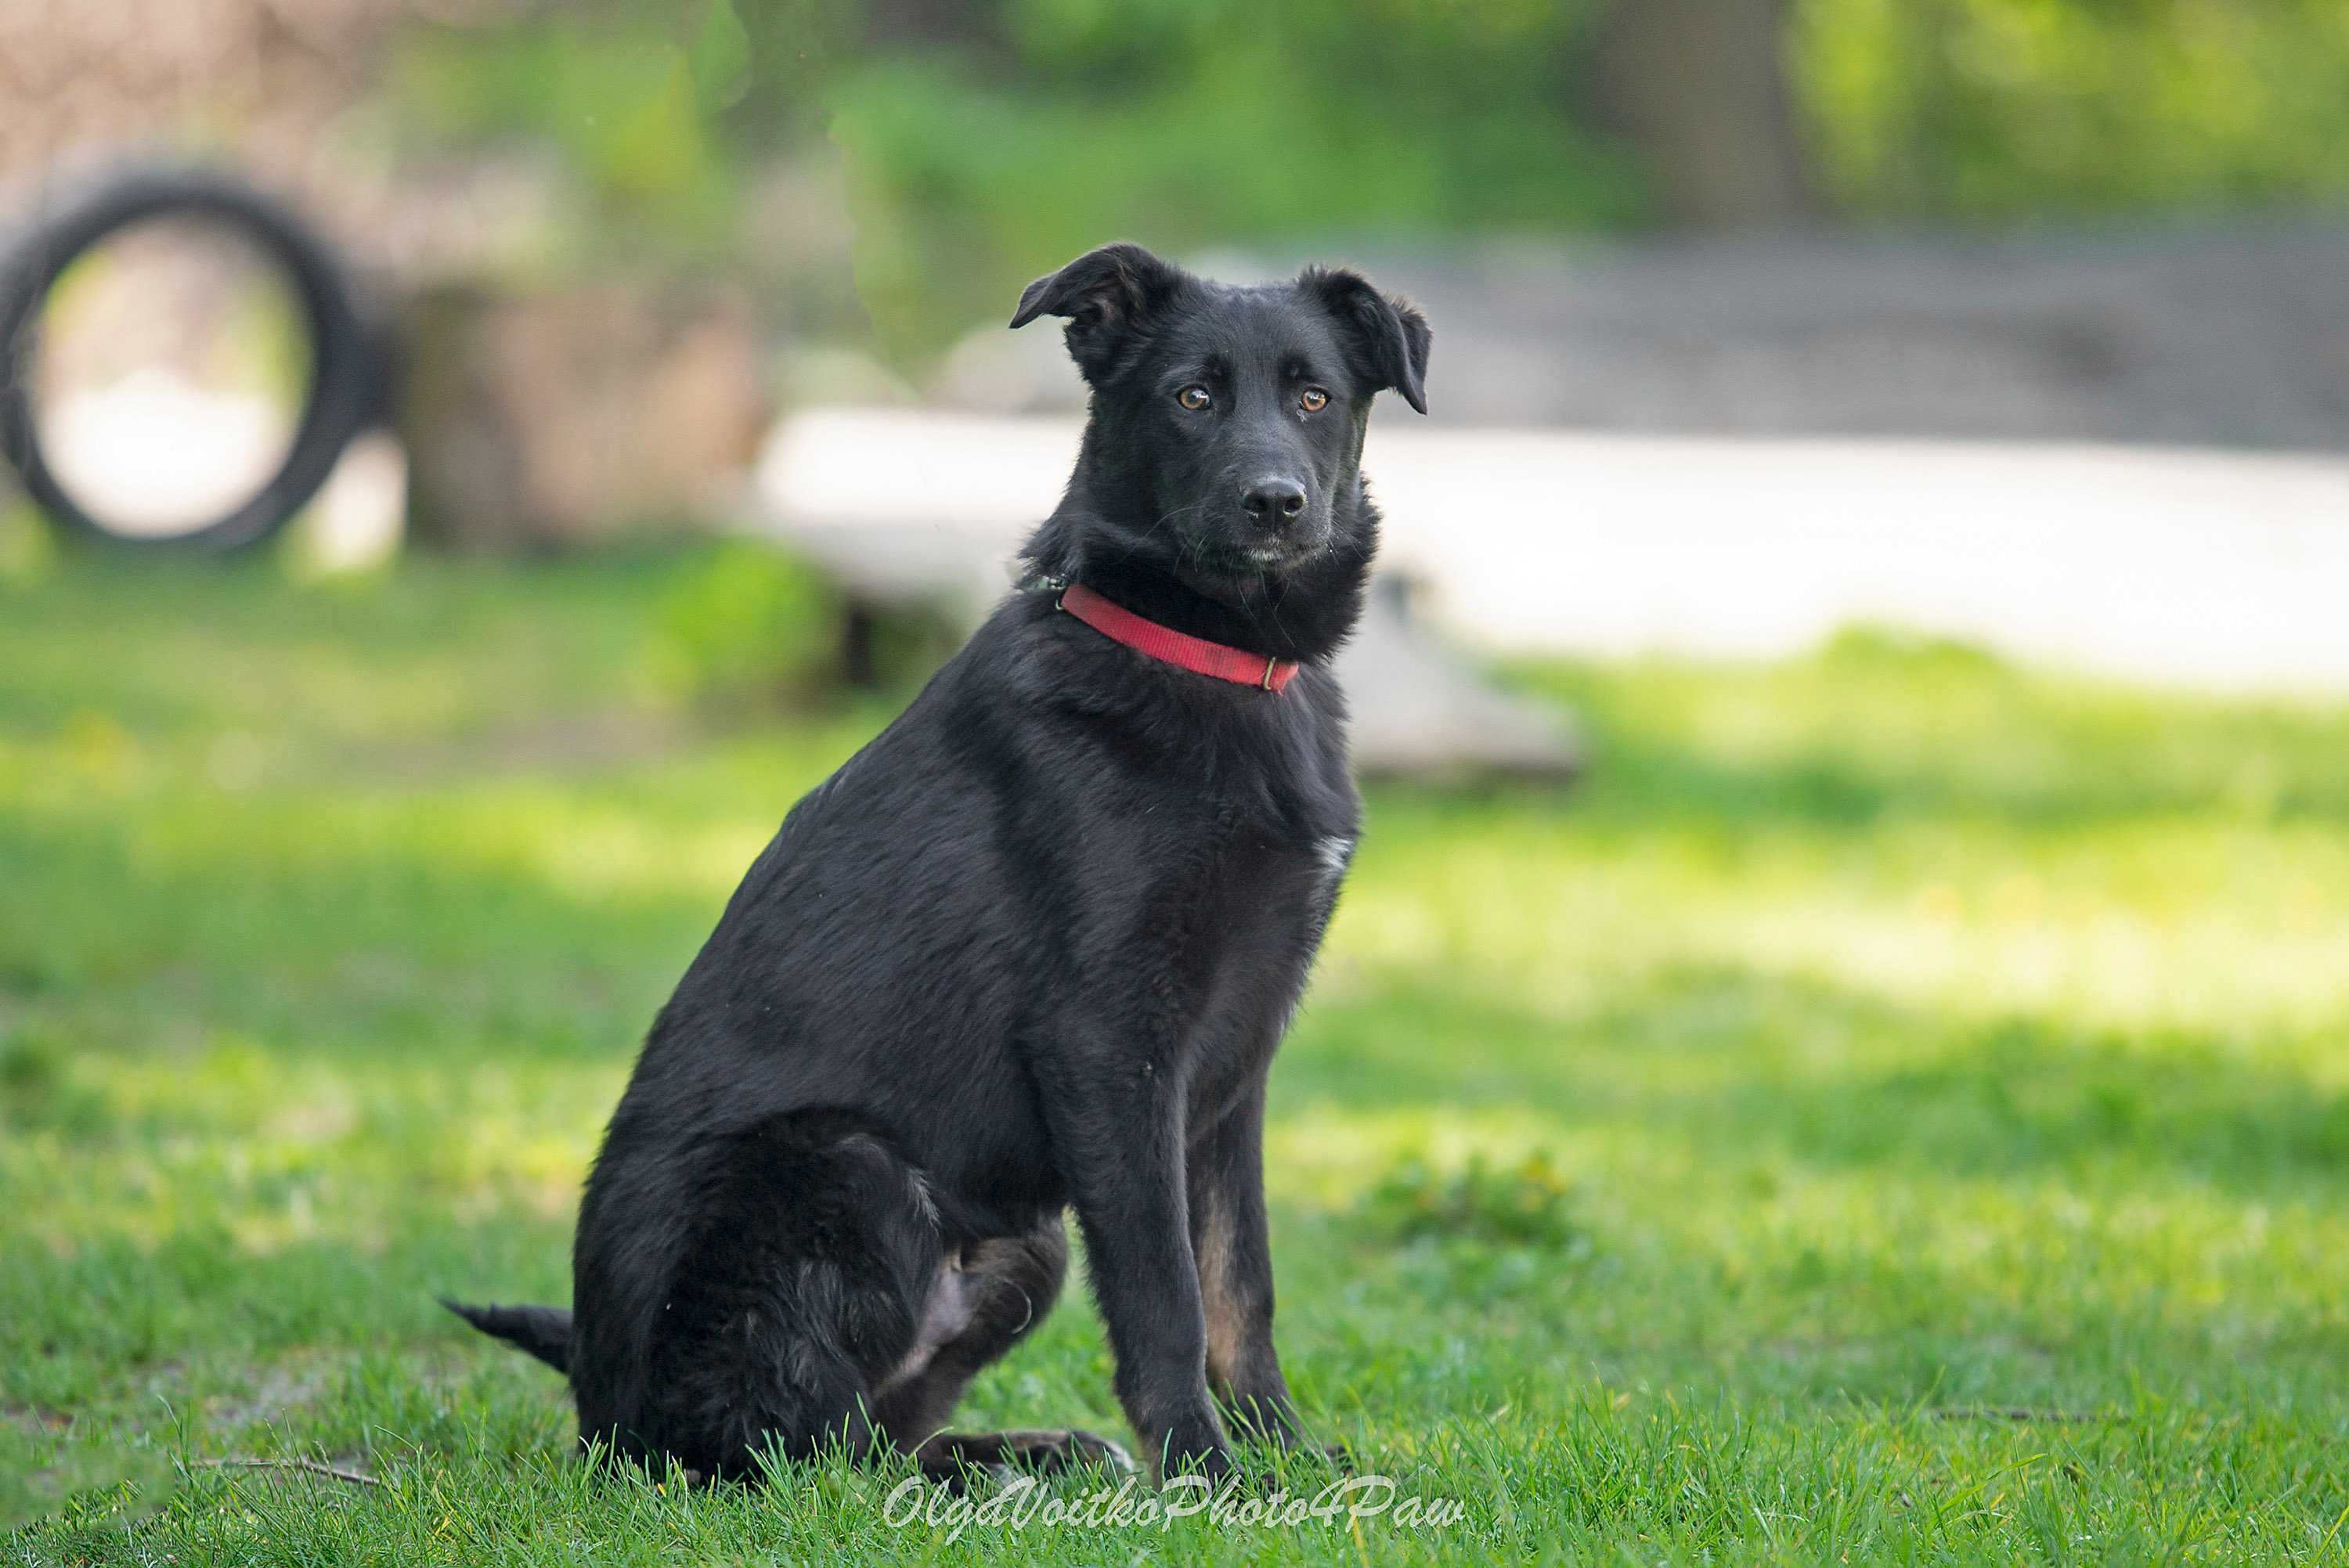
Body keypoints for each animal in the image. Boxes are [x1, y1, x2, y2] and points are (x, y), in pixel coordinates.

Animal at [442, 241, 1428, 1483]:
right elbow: (1165, 1294)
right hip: (857, 1170)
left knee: (869, 1431)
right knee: (797, 1456)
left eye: (1315, 398)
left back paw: (1030, 1453)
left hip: (1025, 1248)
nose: (1275, 503)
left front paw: (1286, 1458)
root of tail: (598, 1403)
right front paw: (1207, 1473)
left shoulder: (1228, 1071)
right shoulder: (1109, 1044)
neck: (1201, 656)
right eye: (1192, 397)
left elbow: (1237, 1287)